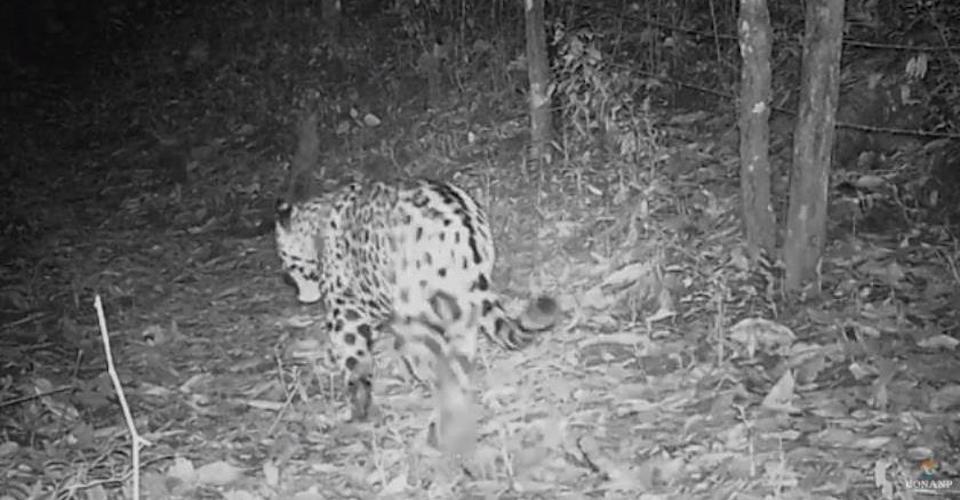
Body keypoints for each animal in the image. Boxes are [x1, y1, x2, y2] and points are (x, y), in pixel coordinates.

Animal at [275, 177, 558, 428]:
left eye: (287, 263)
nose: (300, 295)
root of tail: (462, 228)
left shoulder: (347, 306)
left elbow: (354, 356)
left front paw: (357, 406)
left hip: (415, 301)